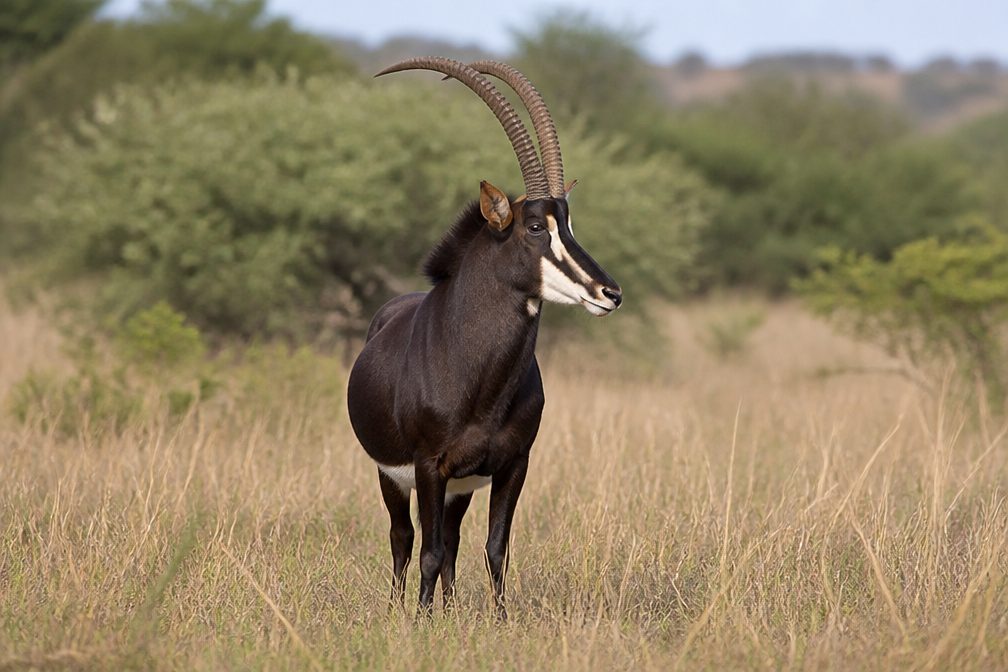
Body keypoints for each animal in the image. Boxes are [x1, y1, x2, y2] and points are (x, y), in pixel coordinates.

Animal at [347, 57, 622, 619]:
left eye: (569, 224)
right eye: (535, 227)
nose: (610, 292)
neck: (479, 378)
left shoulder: (513, 465)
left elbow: (496, 548)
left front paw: (498, 621)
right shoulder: (429, 466)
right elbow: (427, 552)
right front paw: (419, 624)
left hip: (462, 487)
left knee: (451, 541)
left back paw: (449, 611)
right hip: (393, 476)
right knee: (405, 538)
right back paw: (403, 609)